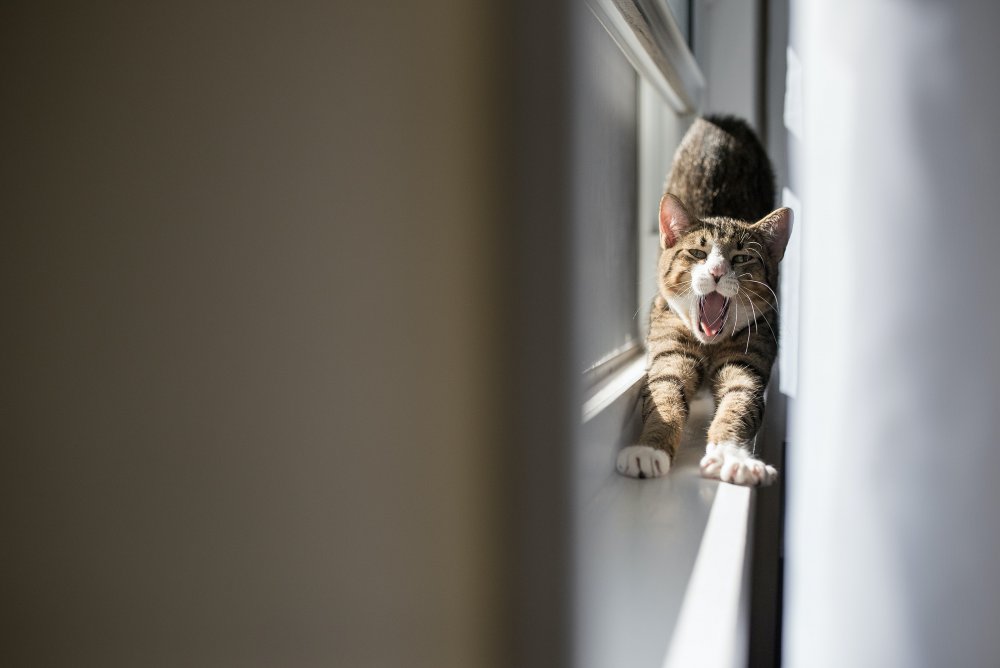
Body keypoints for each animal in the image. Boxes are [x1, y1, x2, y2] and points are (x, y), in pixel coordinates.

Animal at [612, 116, 792, 486]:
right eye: (697, 253)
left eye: (741, 258)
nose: (718, 270)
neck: (709, 345)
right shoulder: (669, 343)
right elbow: (664, 392)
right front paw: (648, 448)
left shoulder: (751, 353)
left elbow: (740, 399)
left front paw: (732, 457)